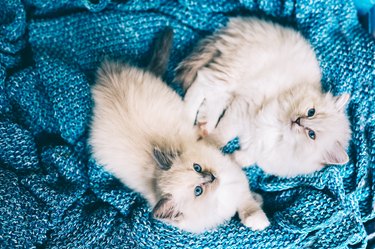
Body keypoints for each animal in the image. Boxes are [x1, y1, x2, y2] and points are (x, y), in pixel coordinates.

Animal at [88, 29, 270, 233]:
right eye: (198, 191)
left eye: (197, 167)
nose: (211, 176)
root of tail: (105, 79)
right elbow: (246, 205)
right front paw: (257, 218)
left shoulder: (237, 181)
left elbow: (247, 201)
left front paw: (257, 209)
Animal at [176, 17, 352, 177]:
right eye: (311, 112)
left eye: (311, 134)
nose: (298, 121)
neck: (279, 133)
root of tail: (243, 23)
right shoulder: (244, 109)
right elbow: (222, 136)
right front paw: (209, 146)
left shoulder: (257, 153)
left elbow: (242, 160)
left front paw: (226, 158)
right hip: (233, 73)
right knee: (201, 82)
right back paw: (187, 118)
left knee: (214, 97)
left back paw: (205, 125)